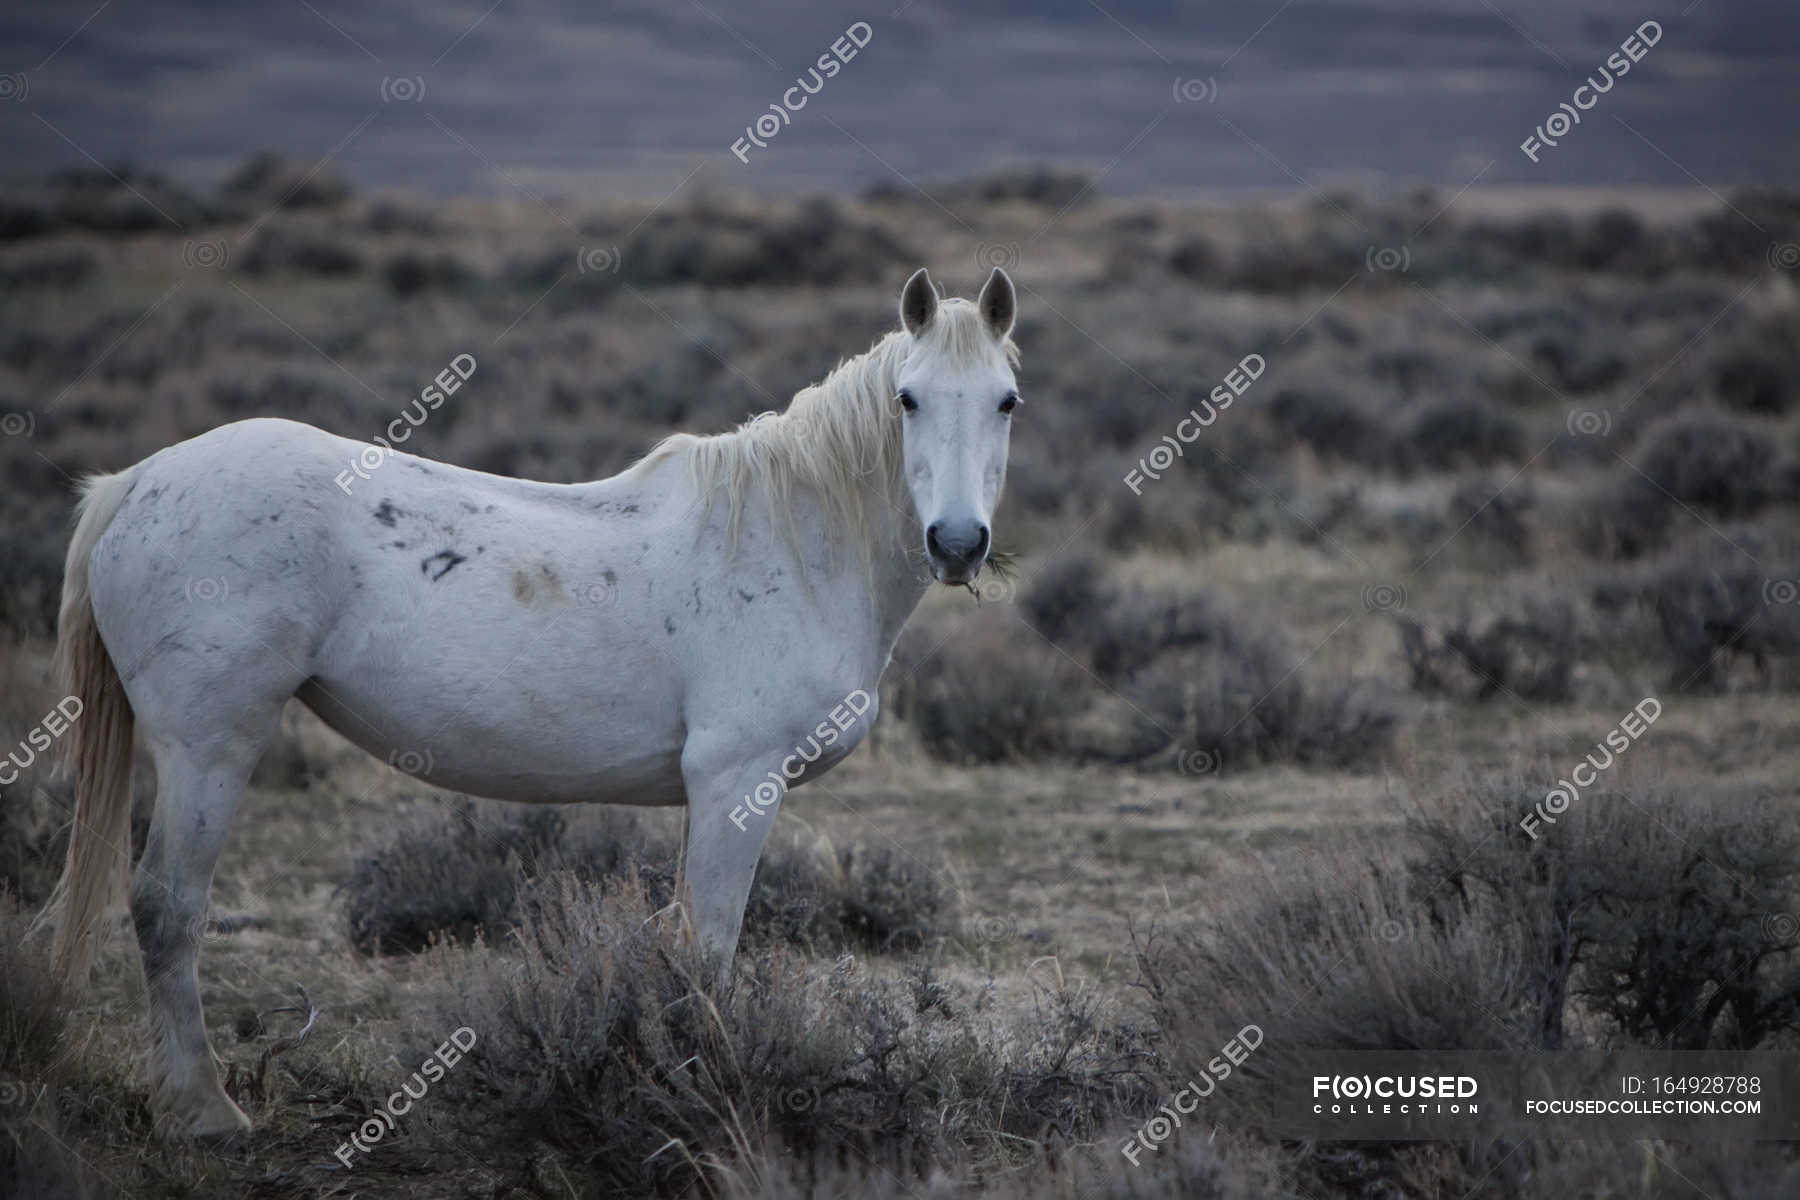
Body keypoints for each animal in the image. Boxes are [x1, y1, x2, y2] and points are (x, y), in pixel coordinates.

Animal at [42, 264, 1022, 1137]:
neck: (791, 540)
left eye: (1007, 401)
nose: (957, 543)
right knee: (167, 907)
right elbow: (709, 948)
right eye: (908, 399)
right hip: (209, 745)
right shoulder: (737, 780)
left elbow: (678, 940)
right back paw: (205, 1111)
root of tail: (135, 484)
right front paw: (710, 1094)